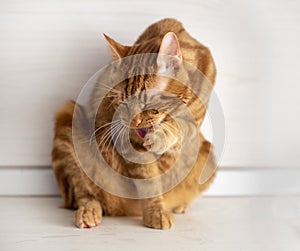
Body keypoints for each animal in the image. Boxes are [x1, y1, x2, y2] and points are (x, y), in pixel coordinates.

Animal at [52, 18, 217, 229]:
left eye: (147, 103)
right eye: (122, 102)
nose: (134, 122)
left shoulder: (196, 119)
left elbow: (183, 126)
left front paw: (163, 135)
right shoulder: (133, 146)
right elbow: (149, 182)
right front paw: (156, 212)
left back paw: (180, 205)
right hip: (68, 118)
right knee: (83, 192)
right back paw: (88, 211)